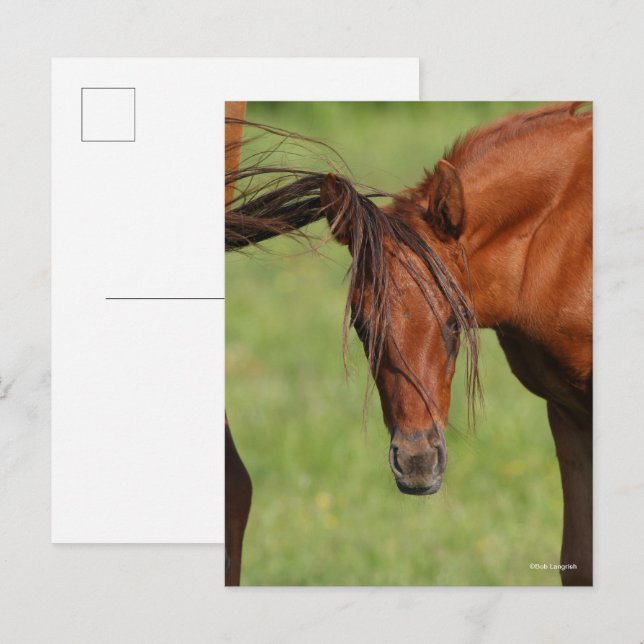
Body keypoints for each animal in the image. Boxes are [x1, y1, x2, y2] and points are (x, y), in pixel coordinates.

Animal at [226, 102, 592, 586]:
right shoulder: (568, 411)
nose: (417, 463)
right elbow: (579, 560)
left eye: (456, 321)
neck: (565, 237)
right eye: (361, 324)